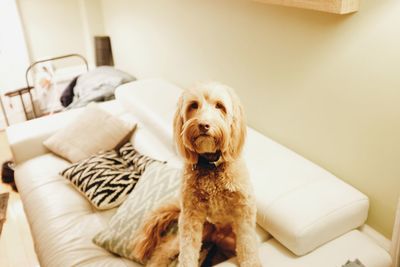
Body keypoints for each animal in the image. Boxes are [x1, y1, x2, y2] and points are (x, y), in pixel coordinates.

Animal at [131, 82, 260, 266]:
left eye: (220, 106)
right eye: (193, 105)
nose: (204, 125)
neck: (211, 166)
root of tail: (216, 237)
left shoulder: (244, 211)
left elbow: (248, 247)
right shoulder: (191, 216)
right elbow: (187, 251)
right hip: (201, 228)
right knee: (165, 248)